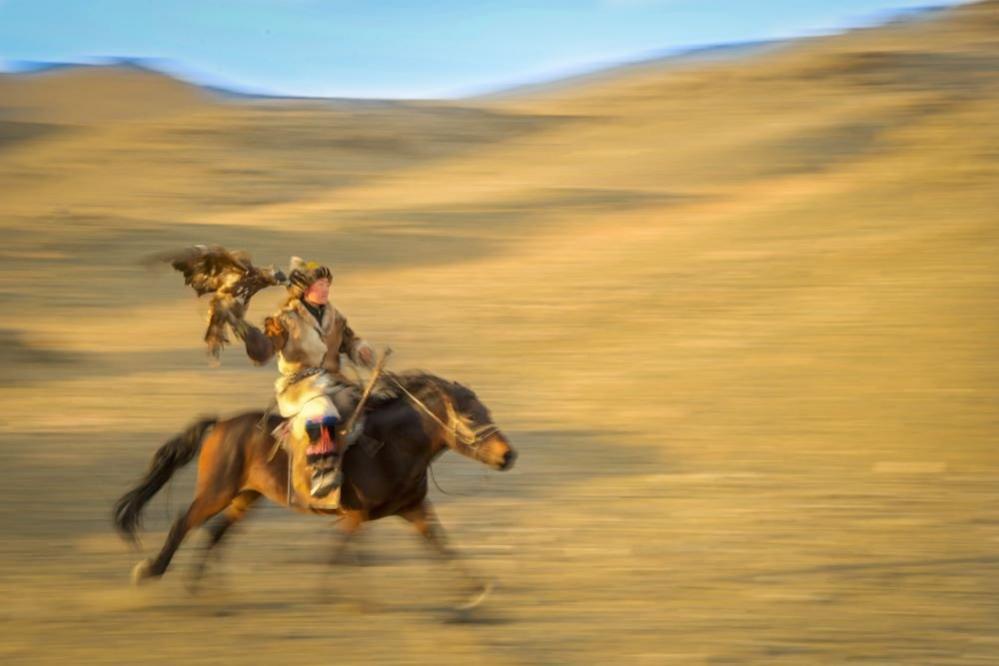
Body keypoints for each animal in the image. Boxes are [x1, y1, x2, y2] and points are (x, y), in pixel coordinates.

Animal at [113, 370, 520, 604]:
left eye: (487, 412)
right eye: (471, 416)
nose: (509, 455)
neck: (391, 445)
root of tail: (221, 425)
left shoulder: (413, 510)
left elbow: (442, 545)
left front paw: (476, 590)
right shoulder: (355, 515)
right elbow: (340, 553)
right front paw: (329, 595)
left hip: (246, 496)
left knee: (215, 531)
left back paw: (197, 585)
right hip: (217, 490)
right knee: (184, 522)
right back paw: (151, 571)